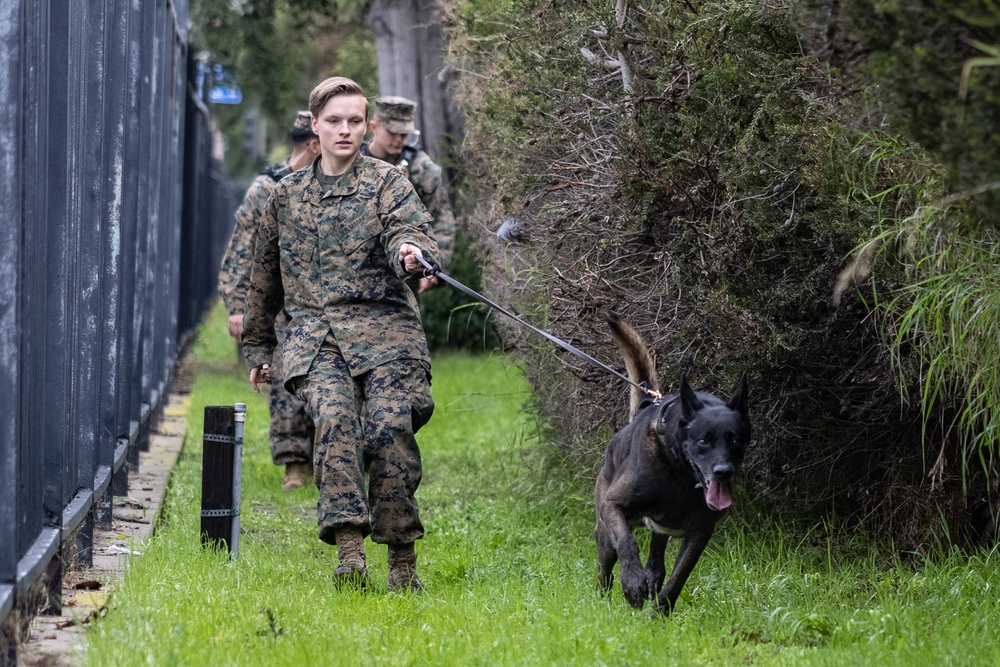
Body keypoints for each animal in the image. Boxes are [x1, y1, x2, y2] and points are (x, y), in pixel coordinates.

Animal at [592, 314, 752, 616]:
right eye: (703, 440)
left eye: (735, 440)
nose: (723, 473)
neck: (681, 475)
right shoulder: (613, 505)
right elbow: (627, 543)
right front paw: (632, 583)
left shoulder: (700, 532)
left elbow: (679, 576)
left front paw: (660, 613)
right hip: (604, 529)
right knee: (605, 566)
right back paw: (603, 598)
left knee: (657, 551)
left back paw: (652, 576)